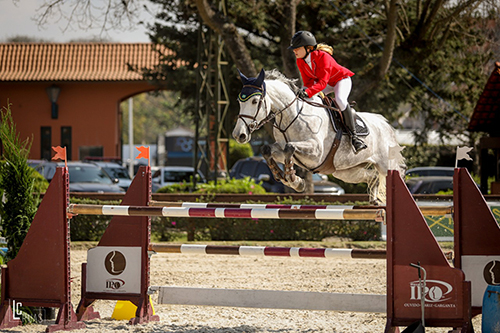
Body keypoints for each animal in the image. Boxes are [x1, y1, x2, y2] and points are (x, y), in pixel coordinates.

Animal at [233, 68, 406, 204]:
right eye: (239, 101)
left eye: (255, 101)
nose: (238, 135)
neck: (292, 115)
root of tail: (386, 124)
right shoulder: (281, 149)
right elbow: (266, 149)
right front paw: (289, 179)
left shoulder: (316, 152)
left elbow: (290, 147)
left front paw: (294, 180)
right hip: (346, 172)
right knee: (373, 177)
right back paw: (375, 201)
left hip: (386, 165)